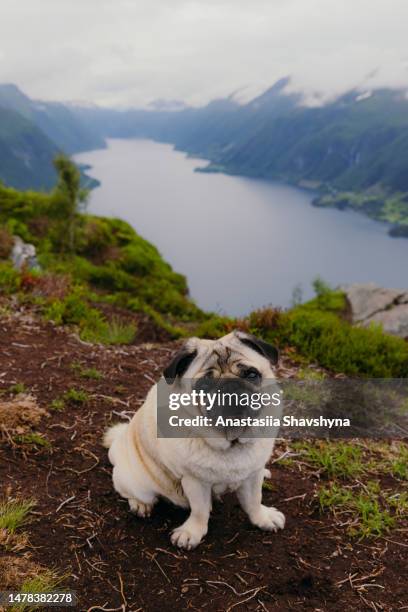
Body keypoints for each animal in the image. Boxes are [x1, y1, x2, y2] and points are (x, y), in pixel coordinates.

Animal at [103, 332, 286, 552]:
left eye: (251, 375)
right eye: (204, 386)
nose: (230, 388)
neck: (230, 441)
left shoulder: (252, 474)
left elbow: (254, 500)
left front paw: (262, 518)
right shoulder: (195, 481)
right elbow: (199, 511)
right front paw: (192, 532)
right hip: (137, 484)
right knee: (129, 492)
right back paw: (140, 505)